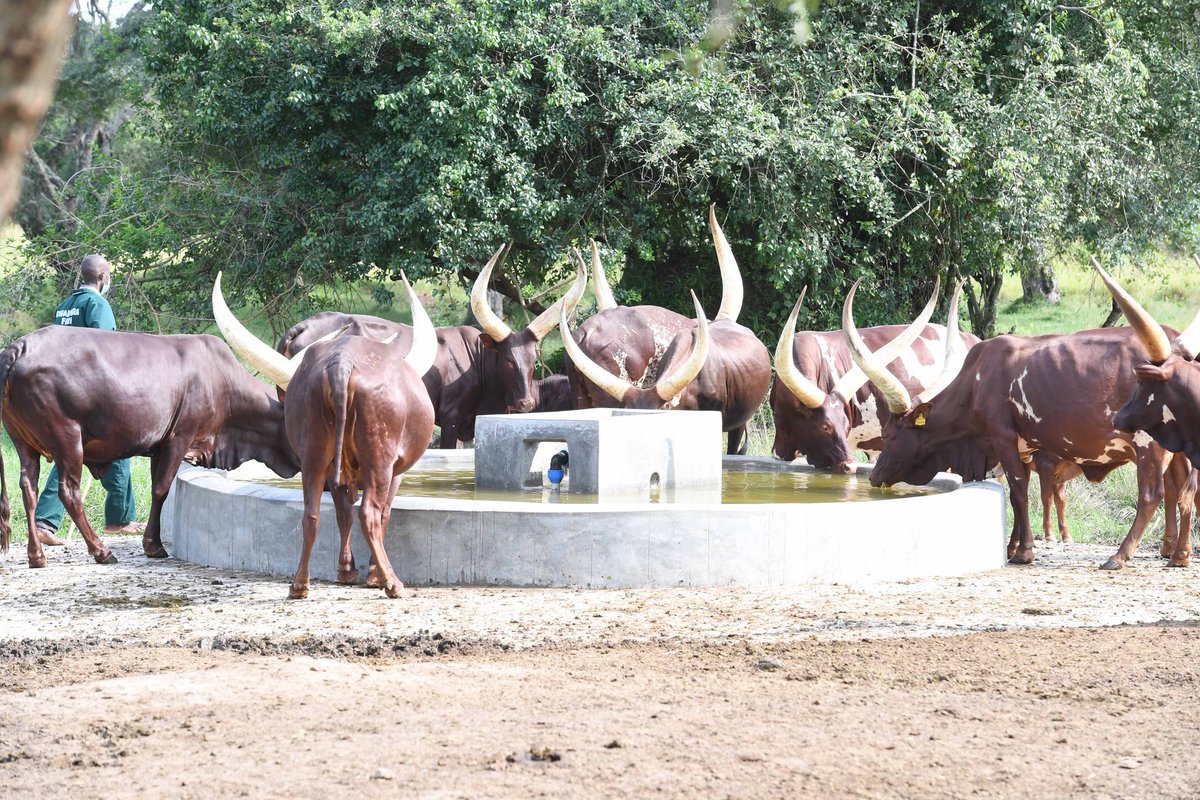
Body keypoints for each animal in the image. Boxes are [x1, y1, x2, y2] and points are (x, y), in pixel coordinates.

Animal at [0, 326, 303, 569]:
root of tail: (20, 346)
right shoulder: (180, 438)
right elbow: (161, 489)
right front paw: (153, 545)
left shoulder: (160, 446)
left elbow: (159, 486)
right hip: (68, 440)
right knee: (69, 492)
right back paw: (101, 550)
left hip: (23, 443)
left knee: (28, 488)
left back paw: (36, 555)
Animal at [215, 273, 437, 599]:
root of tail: (342, 363)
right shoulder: (396, 471)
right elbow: (382, 512)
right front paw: (370, 574)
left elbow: (343, 511)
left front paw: (346, 570)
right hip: (379, 458)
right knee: (370, 514)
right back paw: (391, 582)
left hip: (315, 454)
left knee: (312, 514)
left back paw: (299, 584)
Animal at [275, 243, 585, 447]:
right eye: (508, 360)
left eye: (533, 360)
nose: (526, 403)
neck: (477, 362)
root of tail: (301, 326)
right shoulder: (449, 419)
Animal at [843, 283, 1196, 569]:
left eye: (890, 435)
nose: (873, 477)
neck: (976, 383)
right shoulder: (1024, 448)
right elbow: (1018, 492)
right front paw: (1013, 546)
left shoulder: (1002, 437)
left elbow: (1019, 493)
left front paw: (1024, 552)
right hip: (1177, 448)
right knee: (1183, 493)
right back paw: (1179, 555)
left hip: (1149, 445)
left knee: (1152, 495)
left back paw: (1120, 556)